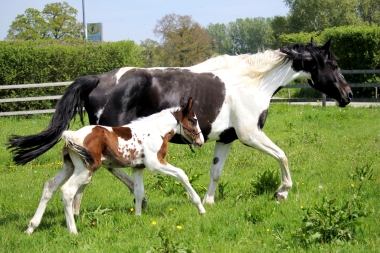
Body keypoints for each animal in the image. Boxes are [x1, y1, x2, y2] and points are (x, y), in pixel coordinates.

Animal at [8, 37, 354, 209]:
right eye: (334, 64)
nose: (348, 96)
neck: (252, 82)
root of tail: (99, 79)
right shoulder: (250, 135)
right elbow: (283, 156)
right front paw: (282, 193)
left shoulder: (226, 138)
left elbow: (216, 172)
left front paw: (209, 202)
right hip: (111, 135)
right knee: (108, 167)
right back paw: (133, 198)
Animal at [25, 98, 205, 234]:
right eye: (193, 120)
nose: (200, 141)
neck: (155, 131)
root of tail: (72, 135)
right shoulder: (155, 164)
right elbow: (182, 174)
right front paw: (200, 207)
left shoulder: (138, 168)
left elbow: (138, 192)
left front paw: (138, 217)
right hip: (86, 169)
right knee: (67, 191)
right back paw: (73, 231)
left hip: (69, 167)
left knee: (50, 185)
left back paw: (31, 227)